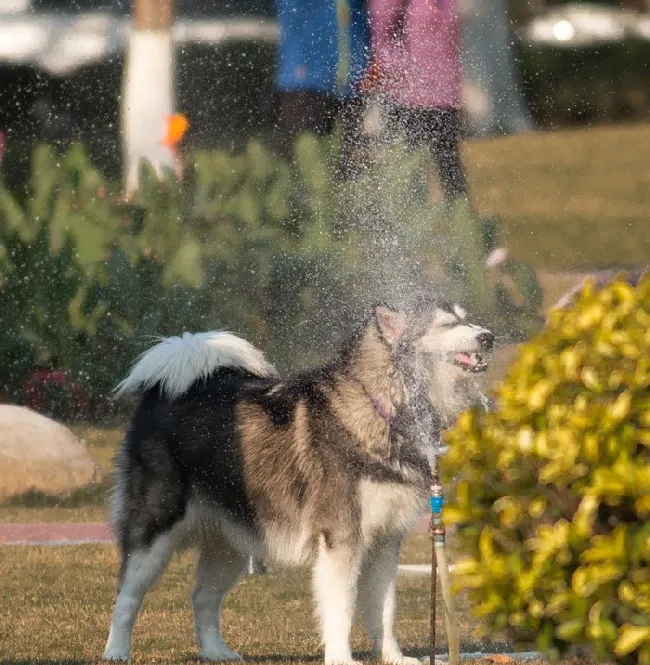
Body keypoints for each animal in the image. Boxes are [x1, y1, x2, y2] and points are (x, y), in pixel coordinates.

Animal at [104, 298, 494, 660]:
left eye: (467, 318)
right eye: (446, 324)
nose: (488, 337)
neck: (382, 407)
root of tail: (163, 392)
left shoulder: (385, 541)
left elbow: (385, 609)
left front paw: (393, 657)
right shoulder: (341, 539)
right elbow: (342, 608)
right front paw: (341, 658)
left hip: (231, 543)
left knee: (202, 597)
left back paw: (216, 651)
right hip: (154, 531)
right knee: (127, 595)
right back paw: (116, 651)